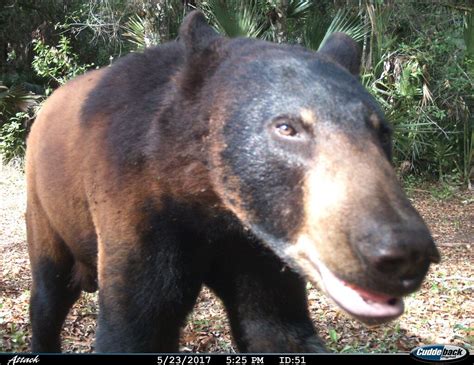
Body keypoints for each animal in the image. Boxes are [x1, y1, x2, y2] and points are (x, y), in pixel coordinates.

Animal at [26, 11, 440, 352]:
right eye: (286, 127)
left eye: (382, 132)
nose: (404, 250)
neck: (213, 205)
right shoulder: (138, 207)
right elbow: (137, 321)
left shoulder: (257, 245)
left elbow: (274, 324)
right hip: (47, 208)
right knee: (48, 294)